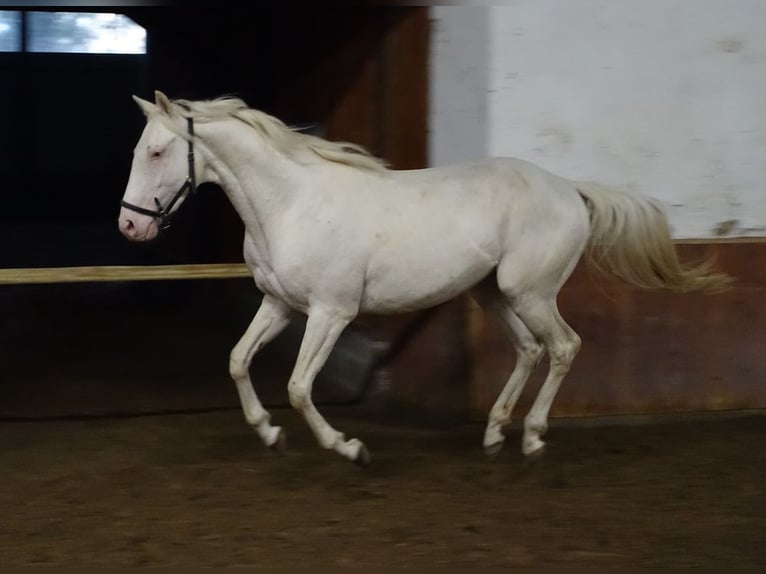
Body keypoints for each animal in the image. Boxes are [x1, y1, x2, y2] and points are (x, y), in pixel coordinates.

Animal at [118, 91, 732, 468]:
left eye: (157, 151)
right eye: (139, 149)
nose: (130, 225)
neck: (290, 203)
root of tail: (569, 188)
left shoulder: (331, 312)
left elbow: (297, 386)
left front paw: (350, 449)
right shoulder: (279, 304)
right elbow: (238, 361)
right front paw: (269, 434)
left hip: (530, 292)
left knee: (563, 346)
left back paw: (533, 438)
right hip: (493, 294)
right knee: (530, 350)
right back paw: (494, 434)